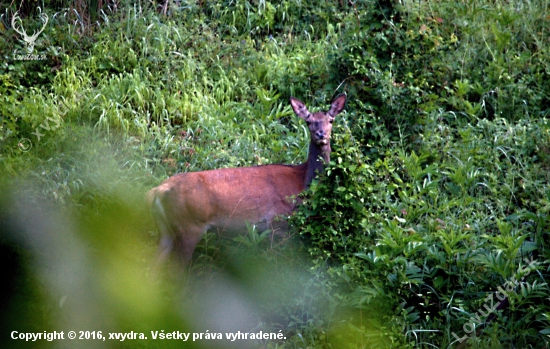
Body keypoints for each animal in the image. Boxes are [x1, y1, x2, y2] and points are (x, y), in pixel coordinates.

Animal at [149, 94, 348, 266]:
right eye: (308, 122)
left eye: (331, 120)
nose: (321, 134)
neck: (301, 182)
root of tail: (158, 191)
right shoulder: (278, 222)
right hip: (189, 226)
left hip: (166, 230)